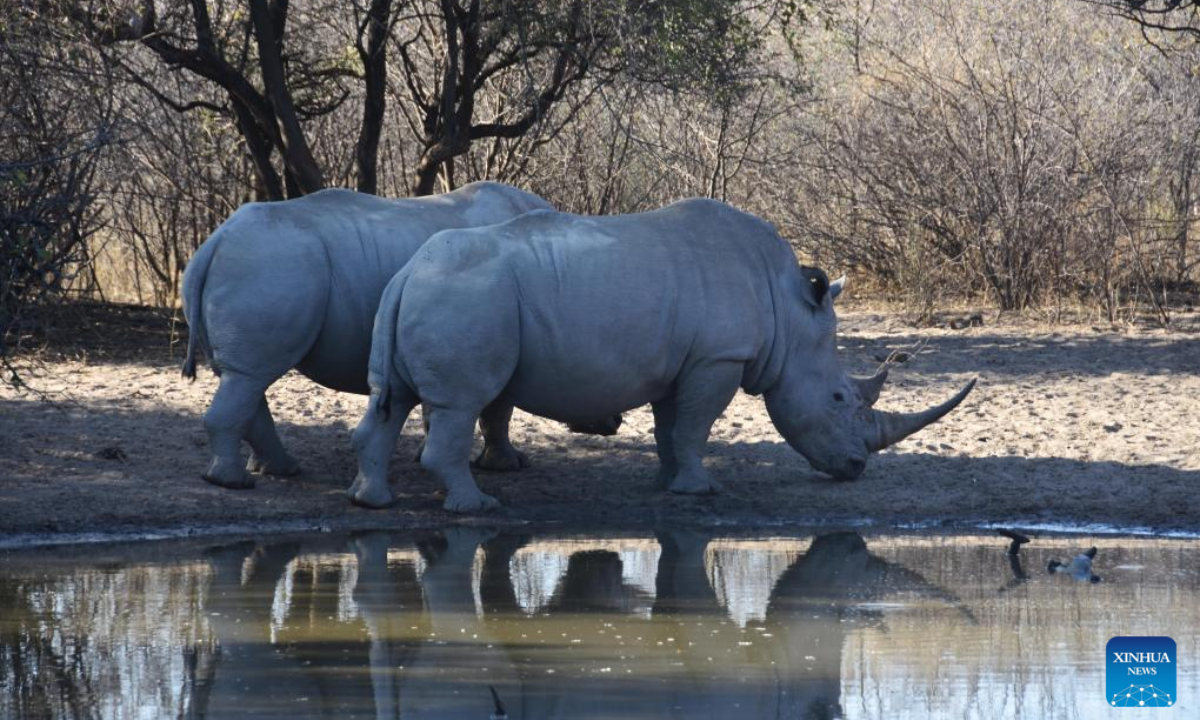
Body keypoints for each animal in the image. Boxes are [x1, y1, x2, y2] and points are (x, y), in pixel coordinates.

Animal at [178, 182, 552, 492]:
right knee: (250, 376)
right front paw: (507, 466)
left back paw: (278, 470)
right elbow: (497, 409)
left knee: (244, 377)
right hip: (268, 265)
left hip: (257, 266)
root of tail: (215, 241)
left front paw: (426, 454)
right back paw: (234, 482)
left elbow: (448, 406)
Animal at [350, 196, 974, 511]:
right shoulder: (720, 357)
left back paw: (371, 502)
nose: (856, 469)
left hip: (428, 294)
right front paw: (702, 490)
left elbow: (673, 427)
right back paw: (477, 508)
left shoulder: (691, 359)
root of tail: (407, 273)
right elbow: (696, 425)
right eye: (842, 397)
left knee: (393, 399)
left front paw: (671, 483)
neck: (789, 312)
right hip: (467, 299)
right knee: (460, 403)